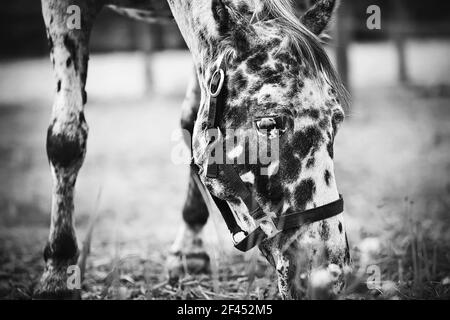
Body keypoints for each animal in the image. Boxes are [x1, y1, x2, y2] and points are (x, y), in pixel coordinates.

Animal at [37, 0, 352, 300]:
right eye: (268, 123)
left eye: (337, 120)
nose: (325, 275)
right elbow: (66, 141)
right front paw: (59, 272)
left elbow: (192, 124)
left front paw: (190, 248)